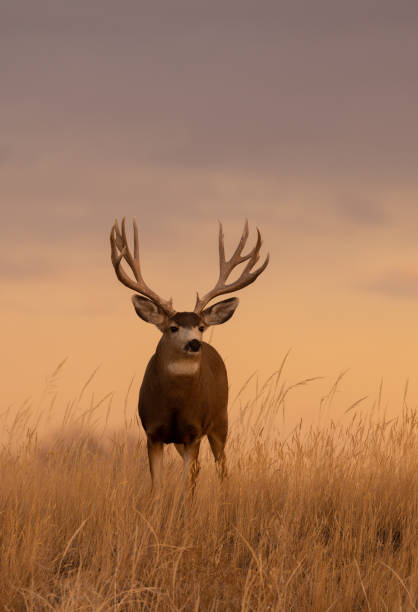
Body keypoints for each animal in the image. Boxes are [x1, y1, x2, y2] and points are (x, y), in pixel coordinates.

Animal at [109, 218, 270, 494]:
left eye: (201, 327)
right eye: (173, 327)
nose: (194, 343)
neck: (174, 405)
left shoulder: (194, 432)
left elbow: (187, 487)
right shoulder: (152, 432)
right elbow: (157, 488)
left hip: (220, 421)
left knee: (221, 467)